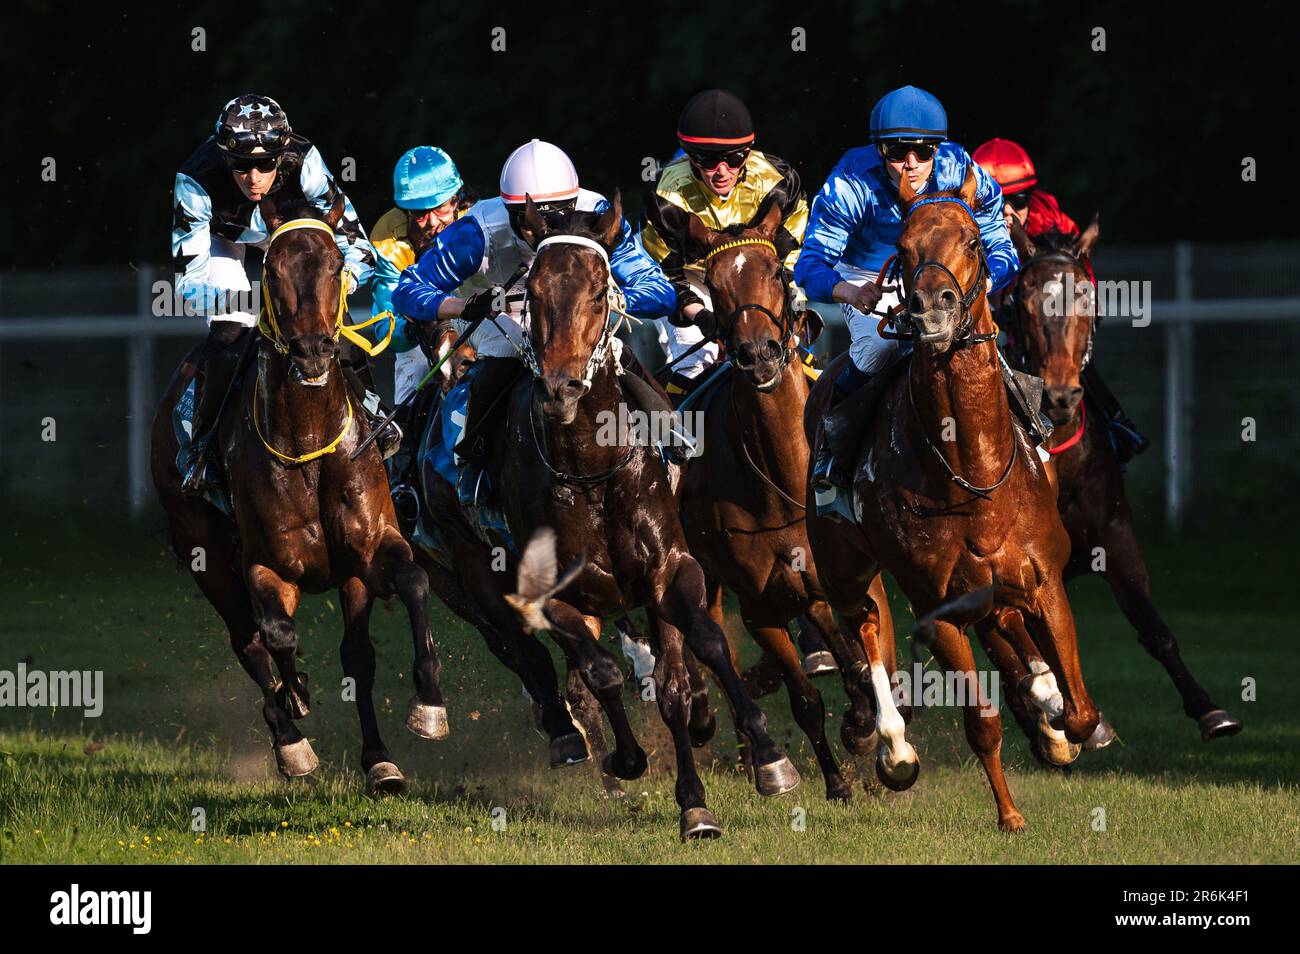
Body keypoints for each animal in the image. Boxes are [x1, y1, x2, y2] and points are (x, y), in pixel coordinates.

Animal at [149, 197, 447, 795]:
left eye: (336, 266)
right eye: (271, 271)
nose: (312, 353)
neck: (309, 443)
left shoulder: (369, 551)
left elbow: (408, 587)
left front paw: (423, 709)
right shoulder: (266, 566)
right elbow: (277, 636)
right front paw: (295, 708)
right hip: (201, 552)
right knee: (247, 639)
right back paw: (289, 731)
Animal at [676, 205, 899, 805]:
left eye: (777, 271)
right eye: (714, 285)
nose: (758, 355)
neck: (783, 482)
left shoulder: (863, 582)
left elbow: (877, 668)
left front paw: (871, 730)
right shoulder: (760, 607)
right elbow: (805, 701)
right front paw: (834, 779)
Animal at [806, 171, 1102, 837]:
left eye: (971, 239)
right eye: (903, 247)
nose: (930, 307)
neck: (974, 471)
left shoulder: (1045, 580)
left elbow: (1080, 709)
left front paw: (1056, 723)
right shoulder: (937, 608)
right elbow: (982, 722)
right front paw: (1010, 814)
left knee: (1007, 630)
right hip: (842, 567)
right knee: (864, 625)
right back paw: (892, 748)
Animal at [998, 220, 1242, 743]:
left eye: (1087, 296)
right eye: (1020, 302)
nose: (1059, 396)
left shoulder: (1113, 532)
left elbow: (1153, 628)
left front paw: (1210, 710)